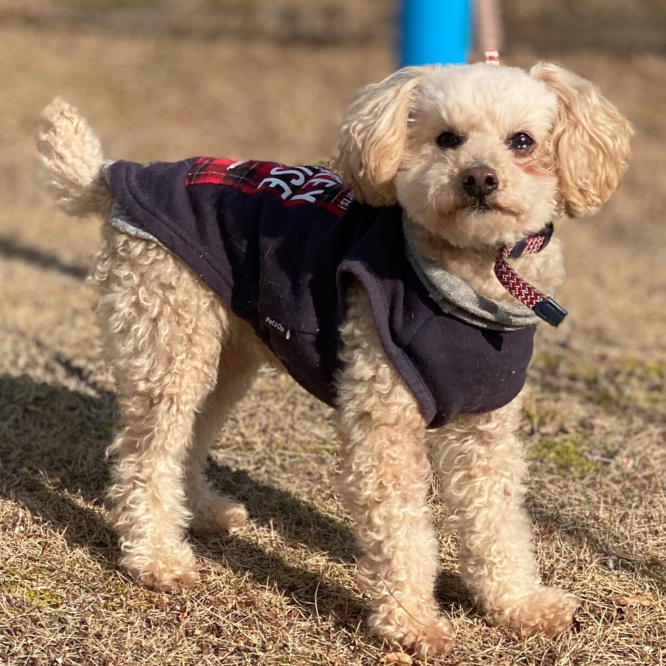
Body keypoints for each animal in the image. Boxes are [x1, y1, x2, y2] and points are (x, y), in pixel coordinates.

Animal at [35, 62, 628, 652]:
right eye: (447, 139)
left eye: (522, 142)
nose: (480, 178)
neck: (465, 277)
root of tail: (118, 176)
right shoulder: (385, 419)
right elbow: (402, 528)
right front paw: (412, 623)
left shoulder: (486, 428)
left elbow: (497, 518)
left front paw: (518, 605)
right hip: (170, 337)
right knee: (147, 454)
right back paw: (156, 559)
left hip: (225, 357)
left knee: (191, 436)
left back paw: (202, 511)